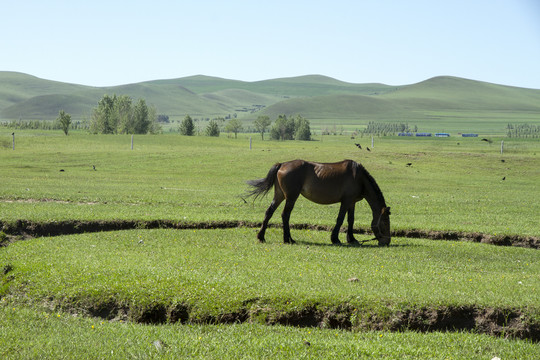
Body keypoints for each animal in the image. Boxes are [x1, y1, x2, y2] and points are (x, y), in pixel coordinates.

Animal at [247, 160, 390, 246]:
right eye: (384, 223)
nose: (387, 241)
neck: (359, 178)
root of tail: (282, 165)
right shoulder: (346, 201)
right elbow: (340, 219)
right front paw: (335, 239)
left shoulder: (352, 202)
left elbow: (351, 220)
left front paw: (352, 239)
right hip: (291, 197)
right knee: (285, 215)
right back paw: (288, 239)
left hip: (279, 195)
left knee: (269, 212)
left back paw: (261, 237)